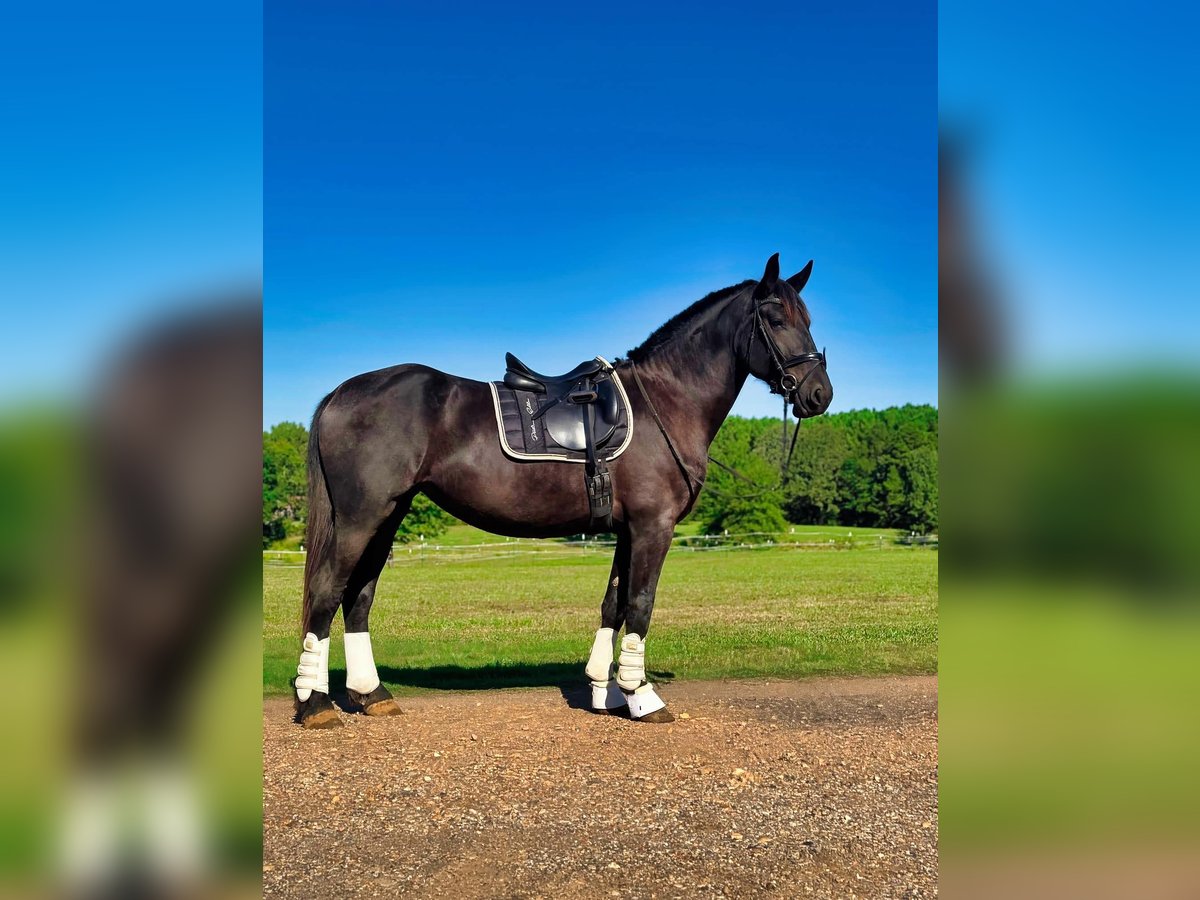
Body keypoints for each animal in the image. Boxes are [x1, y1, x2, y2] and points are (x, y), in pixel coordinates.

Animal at [295, 250, 830, 729]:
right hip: (361, 517)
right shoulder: (653, 526)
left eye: (808, 318)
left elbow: (614, 603)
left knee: (358, 596)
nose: (819, 394)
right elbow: (641, 603)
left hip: (388, 515)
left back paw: (370, 695)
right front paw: (642, 695)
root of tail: (343, 392)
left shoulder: (627, 530)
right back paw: (315, 704)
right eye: (776, 318)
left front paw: (605, 690)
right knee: (328, 589)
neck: (664, 402)